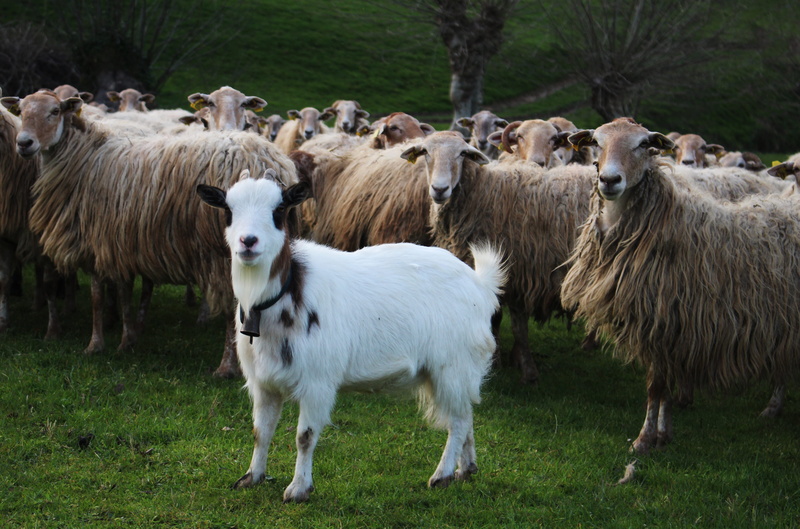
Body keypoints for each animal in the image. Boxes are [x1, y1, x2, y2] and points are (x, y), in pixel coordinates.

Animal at [2, 90, 297, 378]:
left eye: (54, 111)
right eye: (22, 112)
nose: (24, 143)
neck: (83, 158)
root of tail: (266, 157)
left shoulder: (96, 239)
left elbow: (97, 297)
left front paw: (95, 345)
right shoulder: (118, 243)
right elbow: (122, 293)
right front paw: (127, 340)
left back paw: (226, 367)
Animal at [196, 174, 505, 502]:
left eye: (279, 210)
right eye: (228, 210)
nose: (248, 241)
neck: (288, 291)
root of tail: (481, 284)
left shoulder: (318, 382)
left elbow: (304, 437)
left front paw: (298, 489)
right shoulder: (263, 383)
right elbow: (260, 432)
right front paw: (252, 476)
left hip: (452, 365)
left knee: (458, 420)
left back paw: (442, 474)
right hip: (458, 370)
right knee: (467, 412)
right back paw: (466, 469)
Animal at [401, 131, 596, 384]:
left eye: (462, 154)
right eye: (425, 152)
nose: (439, 189)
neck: (485, 193)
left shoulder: (520, 273)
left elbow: (517, 326)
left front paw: (527, 371)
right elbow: (496, 320)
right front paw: (499, 360)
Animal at [562, 117, 800, 454]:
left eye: (644, 144)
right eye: (596, 141)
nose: (609, 180)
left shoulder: (665, 322)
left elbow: (656, 386)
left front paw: (644, 439)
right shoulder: (669, 330)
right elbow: (664, 390)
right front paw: (663, 434)